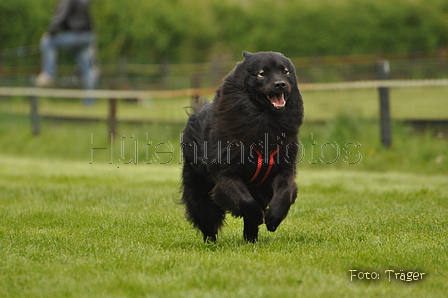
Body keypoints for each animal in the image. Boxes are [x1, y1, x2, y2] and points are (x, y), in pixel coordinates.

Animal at [180, 51, 302, 242]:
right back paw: (211, 243)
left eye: (285, 72)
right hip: (199, 189)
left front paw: (273, 218)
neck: (265, 121)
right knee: (206, 218)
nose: (280, 84)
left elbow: (284, 193)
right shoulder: (226, 173)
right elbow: (244, 200)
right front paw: (259, 216)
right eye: (262, 73)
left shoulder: (285, 169)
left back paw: (251, 241)